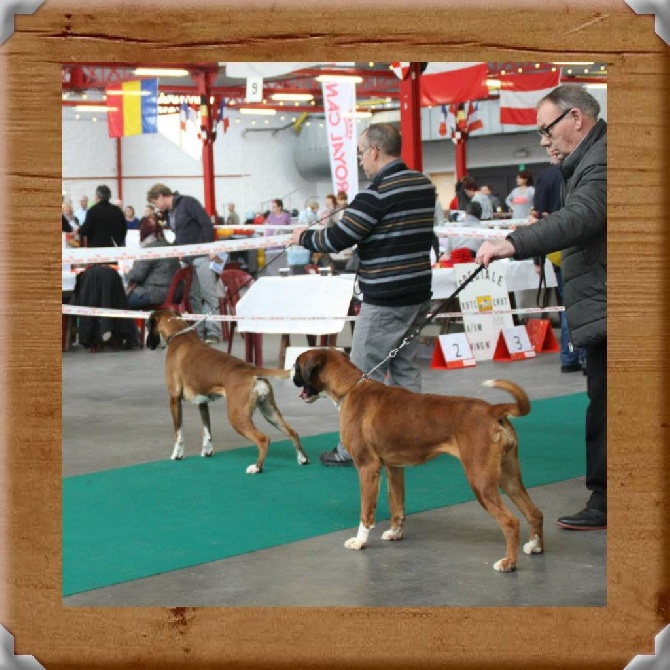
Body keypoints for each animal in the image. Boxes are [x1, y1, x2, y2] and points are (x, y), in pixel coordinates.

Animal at [147, 308, 310, 476]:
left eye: (147, 325)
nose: (148, 343)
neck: (179, 334)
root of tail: (251, 370)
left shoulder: (174, 399)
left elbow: (178, 432)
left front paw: (177, 454)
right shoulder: (202, 402)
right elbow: (207, 429)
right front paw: (207, 451)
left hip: (237, 417)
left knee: (263, 439)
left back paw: (257, 467)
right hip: (270, 412)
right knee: (292, 432)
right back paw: (302, 458)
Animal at [294, 350, 544, 576]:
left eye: (297, 367)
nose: (292, 377)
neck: (351, 387)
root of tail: (492, 409)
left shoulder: (367, 469)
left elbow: (366, 512)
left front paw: (359, 541)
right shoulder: (394, 468)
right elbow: (396, 505)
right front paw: (395, 533)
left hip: (481, 481)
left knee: (511, 522)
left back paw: (508, 563)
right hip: (508, 478)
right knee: (535, 513)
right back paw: (535, 546)